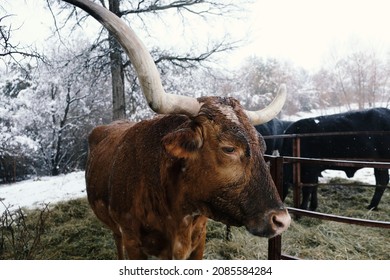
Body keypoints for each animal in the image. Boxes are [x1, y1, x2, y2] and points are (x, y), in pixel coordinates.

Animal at [63, 0, 290, 260]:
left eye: (262, 145)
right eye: (229, 148)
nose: (281, 220)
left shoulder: (199, 240)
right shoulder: (133, 243)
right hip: (117, 233)